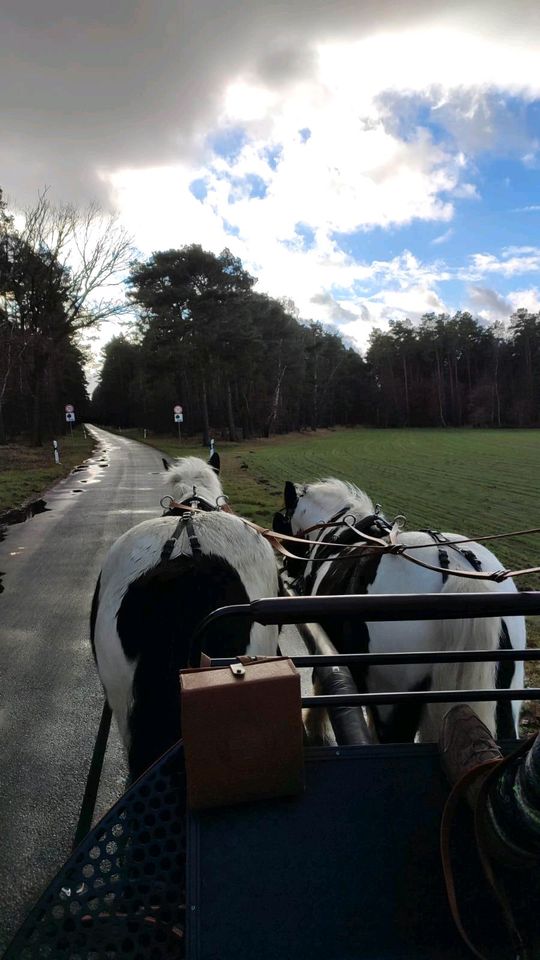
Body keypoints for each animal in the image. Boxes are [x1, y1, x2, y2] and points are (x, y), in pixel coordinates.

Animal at [272, 480, 524, 744]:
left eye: (280, 520)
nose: (289, 567)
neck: (340, 536)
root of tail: (457, 568)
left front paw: (315, 729)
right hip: (504, 702)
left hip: (392, 696)